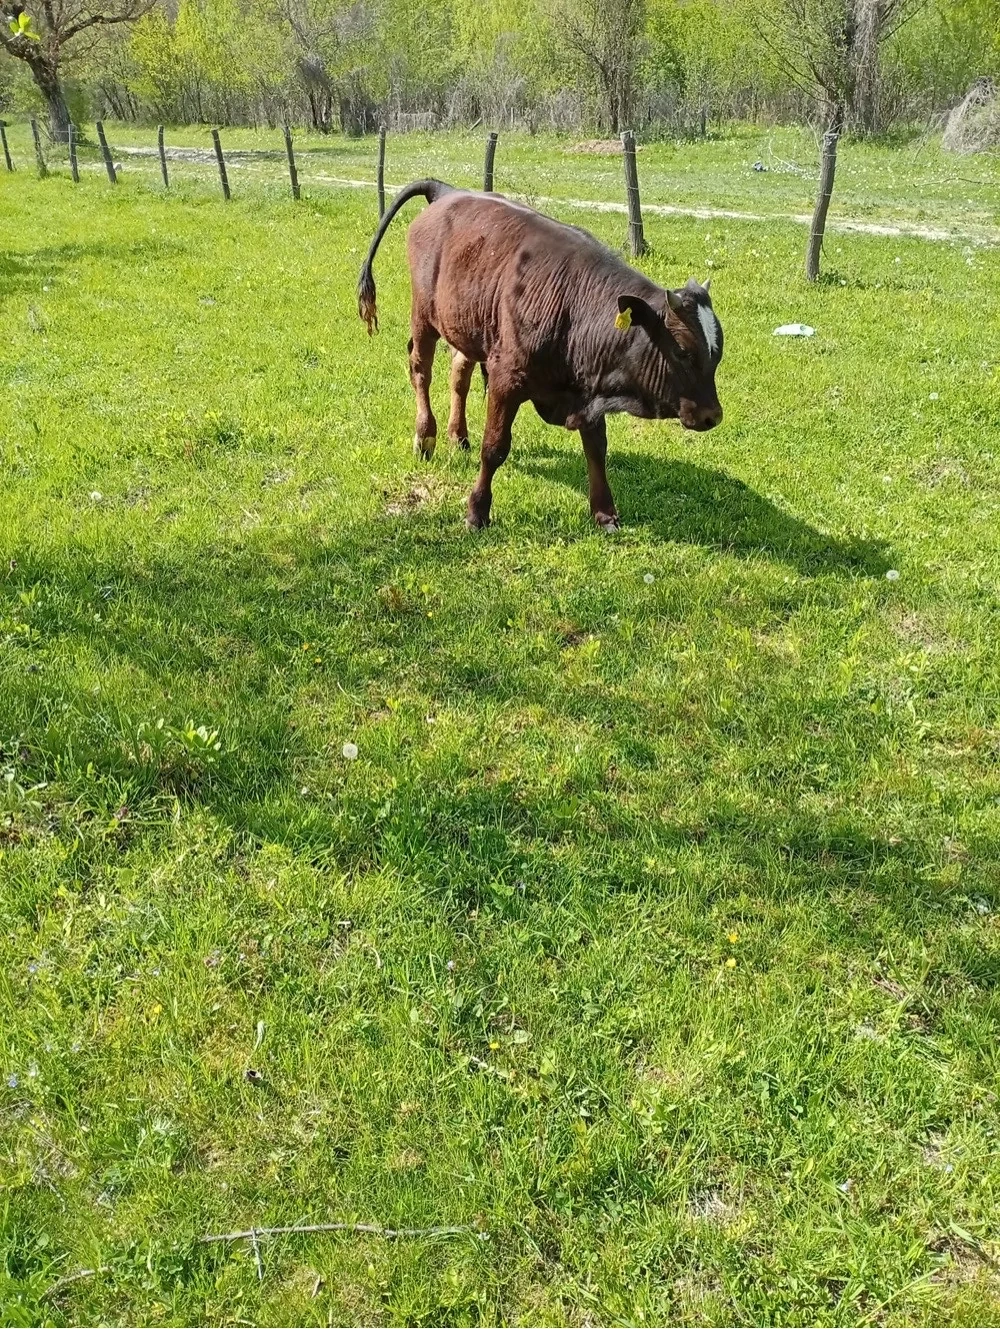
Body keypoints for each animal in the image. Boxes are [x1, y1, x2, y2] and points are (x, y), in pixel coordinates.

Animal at [357, 179, 723, 531]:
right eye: (681, 350)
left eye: (717, 353)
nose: (713, 416)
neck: (574, 306)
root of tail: (446, 191)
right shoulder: (506, 378)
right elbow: (494, 447)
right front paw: (477, 512)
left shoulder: (586, 389)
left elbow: (596, 449)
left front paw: (605, 513)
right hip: (424, 316)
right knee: (421, 369)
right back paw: (425, 437)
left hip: (465, 325)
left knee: (459, 374)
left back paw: (458, 436)